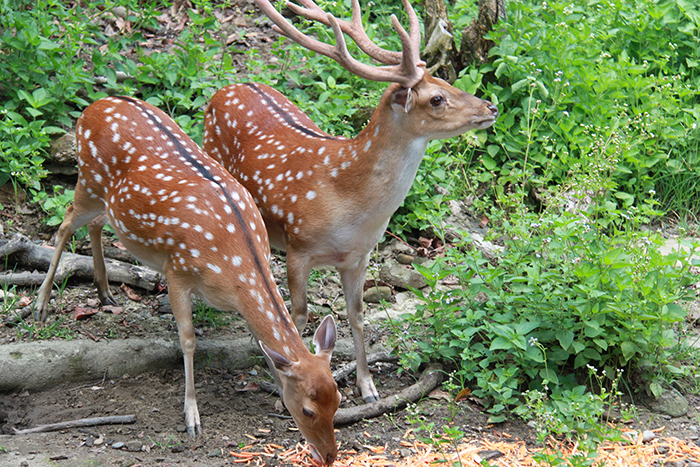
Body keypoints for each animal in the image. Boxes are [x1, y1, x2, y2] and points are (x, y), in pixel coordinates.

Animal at [35, 97, 342, 466]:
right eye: (309, 410)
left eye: (339, 399)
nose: (329, 455)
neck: (234, 268)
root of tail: (92, 107)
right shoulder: (177, 270)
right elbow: (189, 341)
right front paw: (192, 417)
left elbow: (259, 343)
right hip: (88, 178)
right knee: (65, 222)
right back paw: (41, 305)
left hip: (107, 201)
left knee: (95, 224)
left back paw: (106, 292)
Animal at [202, 0, 498, 404]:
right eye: (437, 99)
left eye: (448, 82)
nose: (490, 107)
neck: (350, 205)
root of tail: (228, 87)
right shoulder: (299, 247)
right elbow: (299, 314)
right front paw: (285, 390)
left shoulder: (361, 256)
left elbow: (355, 315)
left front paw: (368, 386)